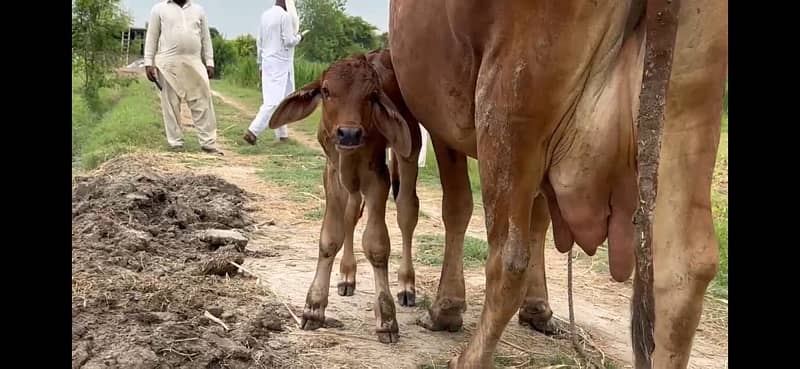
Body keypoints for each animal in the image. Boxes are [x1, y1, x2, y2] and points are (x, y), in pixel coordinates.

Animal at [268, 49, 422, 342]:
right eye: (326, 91)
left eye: (372, 95)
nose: (349, 133)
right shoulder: (331, 172)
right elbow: (330, 237)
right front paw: (314, 307)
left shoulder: (378, 176)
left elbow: (376, 245)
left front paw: (386, 317)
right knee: (351, 214)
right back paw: (347, 276)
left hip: (410, 153)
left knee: (407, 211)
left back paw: (406, 285)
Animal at [390, 0, 728, 368]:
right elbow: (540, 221)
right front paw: (538, 310)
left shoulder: (442, 122)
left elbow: (457, 208)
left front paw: (445, 309)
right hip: (687, 107)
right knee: (685, 270)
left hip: (508, 100)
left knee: (509, 257)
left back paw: (470, 358)